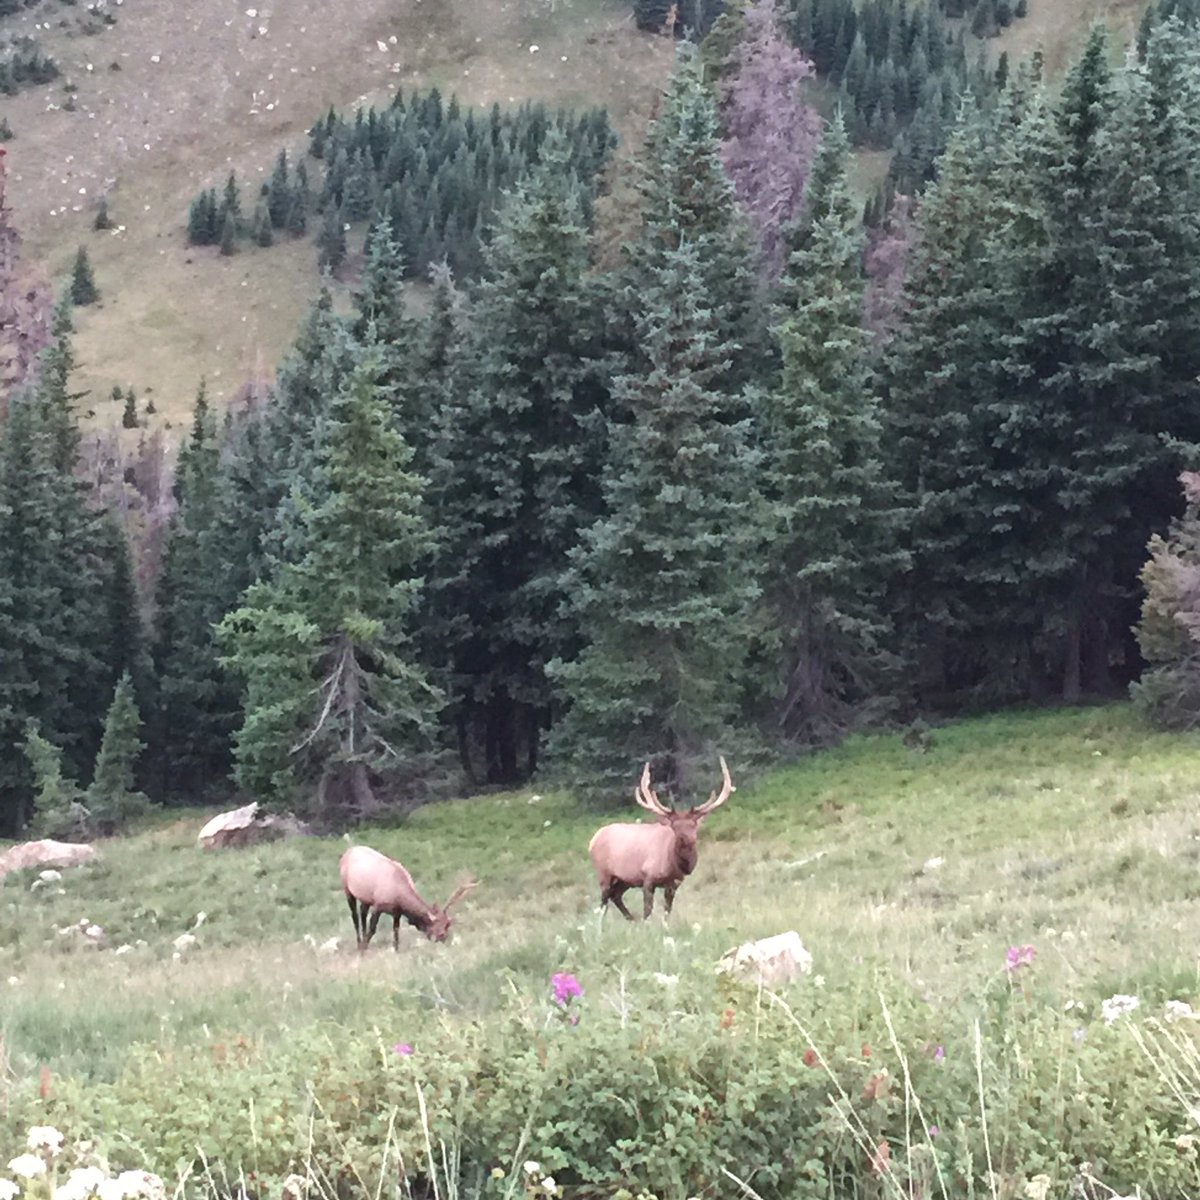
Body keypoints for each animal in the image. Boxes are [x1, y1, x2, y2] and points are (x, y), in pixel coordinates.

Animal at [339, 845, 478, 951]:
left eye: (447, 926)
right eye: (441, 932)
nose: (445, 943)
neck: (399, 895)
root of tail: (347, 851)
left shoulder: (396, 912)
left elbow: (396, 932)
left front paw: (396, 950)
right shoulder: (378, 905)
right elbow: (373, 929)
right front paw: (364, 949)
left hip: (365, 898)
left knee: (362, 912)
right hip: (347, 889)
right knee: (355, 916)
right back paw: (359, 943)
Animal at [588, 756, 733, 921]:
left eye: (693, 825)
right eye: (675, 826)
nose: (686, 838)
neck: (673, 864)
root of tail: (592, 840)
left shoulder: (673, 883)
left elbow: (667, 911)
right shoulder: (647, 877)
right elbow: (647, 910)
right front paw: (647, 924)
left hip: (623, 880)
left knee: (615, 896)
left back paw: (631, 919)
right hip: (604, 873)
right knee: (603, 902)